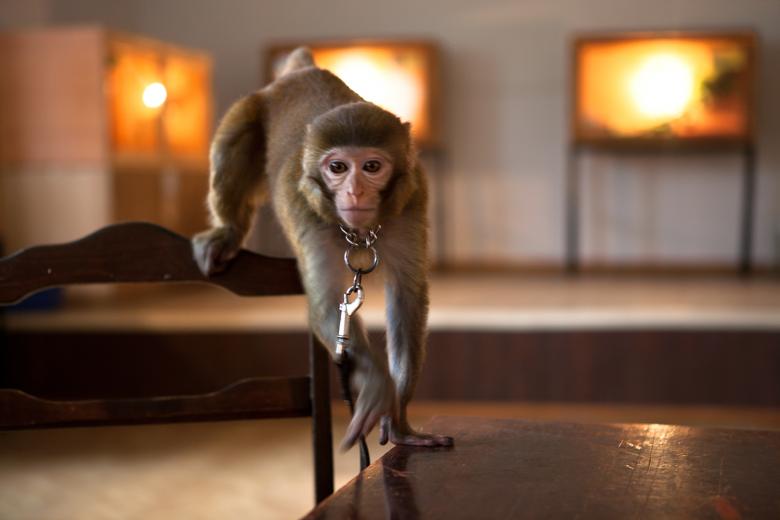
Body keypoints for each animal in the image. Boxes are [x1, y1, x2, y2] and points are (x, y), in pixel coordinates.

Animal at [192, 47, 452, 449]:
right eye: (338, 168)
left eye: (372, 166)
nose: (355, 192)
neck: (359, 233)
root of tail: (302, 71)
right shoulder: (306, 210)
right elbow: (328, 301)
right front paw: (377, 387)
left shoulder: (413, 198)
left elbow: (407, 298)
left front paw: (400, 419)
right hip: (251, 106)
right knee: (233, 139)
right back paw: (227, 232)